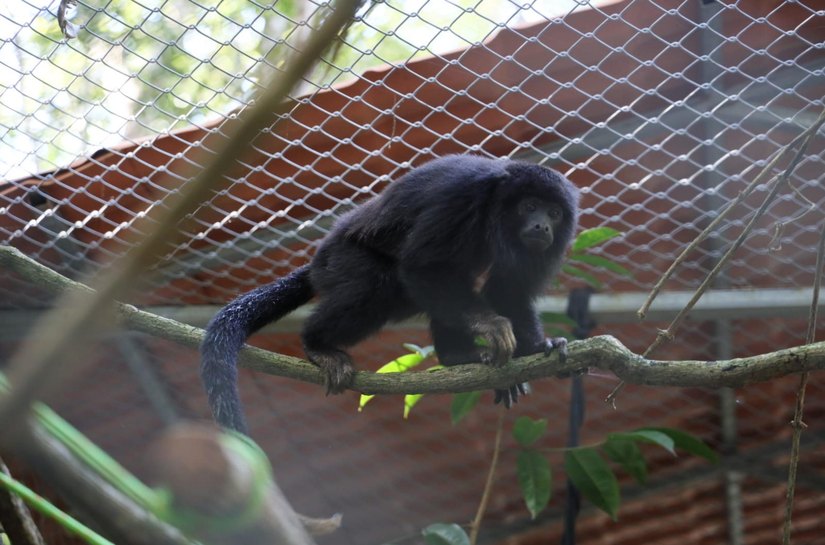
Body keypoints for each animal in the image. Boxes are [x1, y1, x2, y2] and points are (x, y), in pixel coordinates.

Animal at [201, 155, 579, 433]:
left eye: (555, 213)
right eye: (529, 206)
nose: (542, 226)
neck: (497, 209)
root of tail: (319, 258)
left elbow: (510, 289)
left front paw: (537, 347)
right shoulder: (463, 197)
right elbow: (422, 265)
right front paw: (490, 325)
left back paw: (456, 357)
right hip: (344, 258)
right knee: (380, 285)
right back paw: (317, 344)